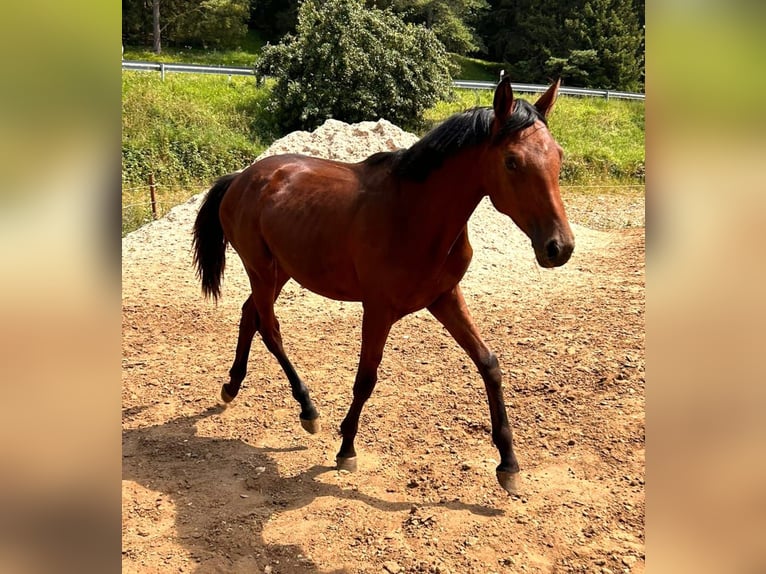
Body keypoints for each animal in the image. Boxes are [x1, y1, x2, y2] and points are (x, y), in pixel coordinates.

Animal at [194, 76, 576, 498]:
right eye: (512, 161)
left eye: (558, 156)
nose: (559, 247)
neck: (413, 215)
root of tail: (241, 178)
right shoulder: (378, 309)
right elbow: (366, 377)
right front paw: (346, 448)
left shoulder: (445, 297)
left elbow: (488, 363)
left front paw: (509, 463)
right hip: (261, 270)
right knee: (270, 329)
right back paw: (307, 409)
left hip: (281, 272)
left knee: (250, 316)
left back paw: (232, 387)